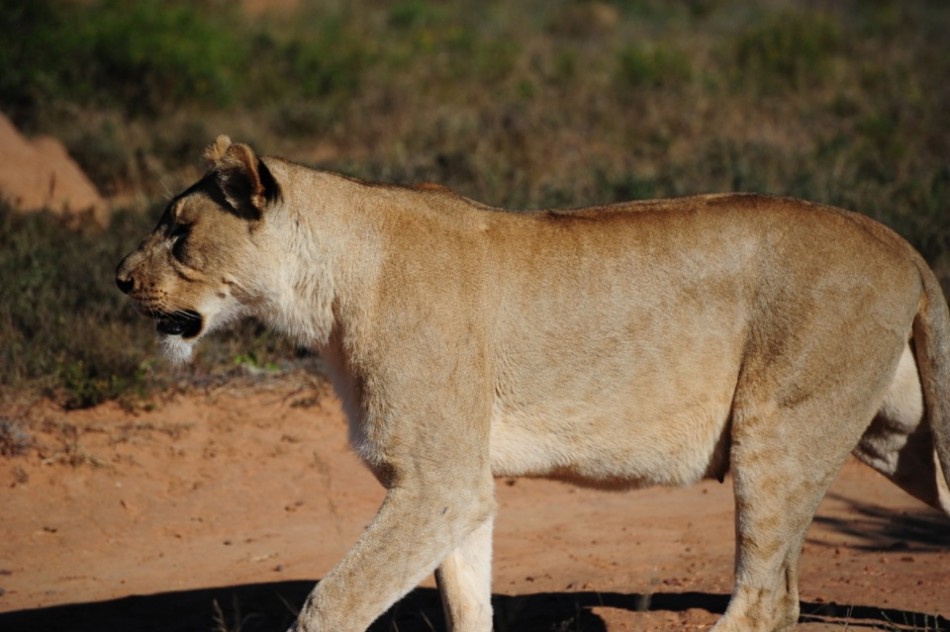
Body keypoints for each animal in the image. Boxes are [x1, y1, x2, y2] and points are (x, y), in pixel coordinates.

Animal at [116, 136, 950, 632]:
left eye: (180, 232)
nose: (120, 278)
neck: (327, 292)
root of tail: (902, 243)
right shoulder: (457, 488)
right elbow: (464, 601)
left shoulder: (440, 480)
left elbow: (333, 602)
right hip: (900, 433)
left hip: (777, 427)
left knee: (769, 597)